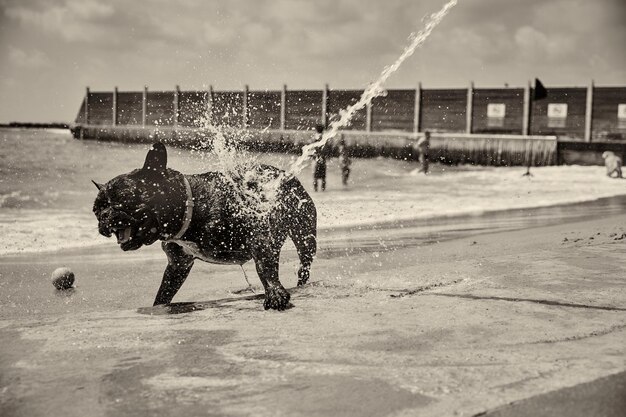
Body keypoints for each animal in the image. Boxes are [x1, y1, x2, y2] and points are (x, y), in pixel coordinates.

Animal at [91, 143, 316, 308]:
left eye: (121, 200)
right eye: (95, 210)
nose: (103, 217)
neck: (191, 203)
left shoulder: (257, 236)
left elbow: (264, 267)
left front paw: (274, 293)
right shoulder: (179, 263)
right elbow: (165, 290)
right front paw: (159, 305)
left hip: (304, 235)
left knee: (303, 264)